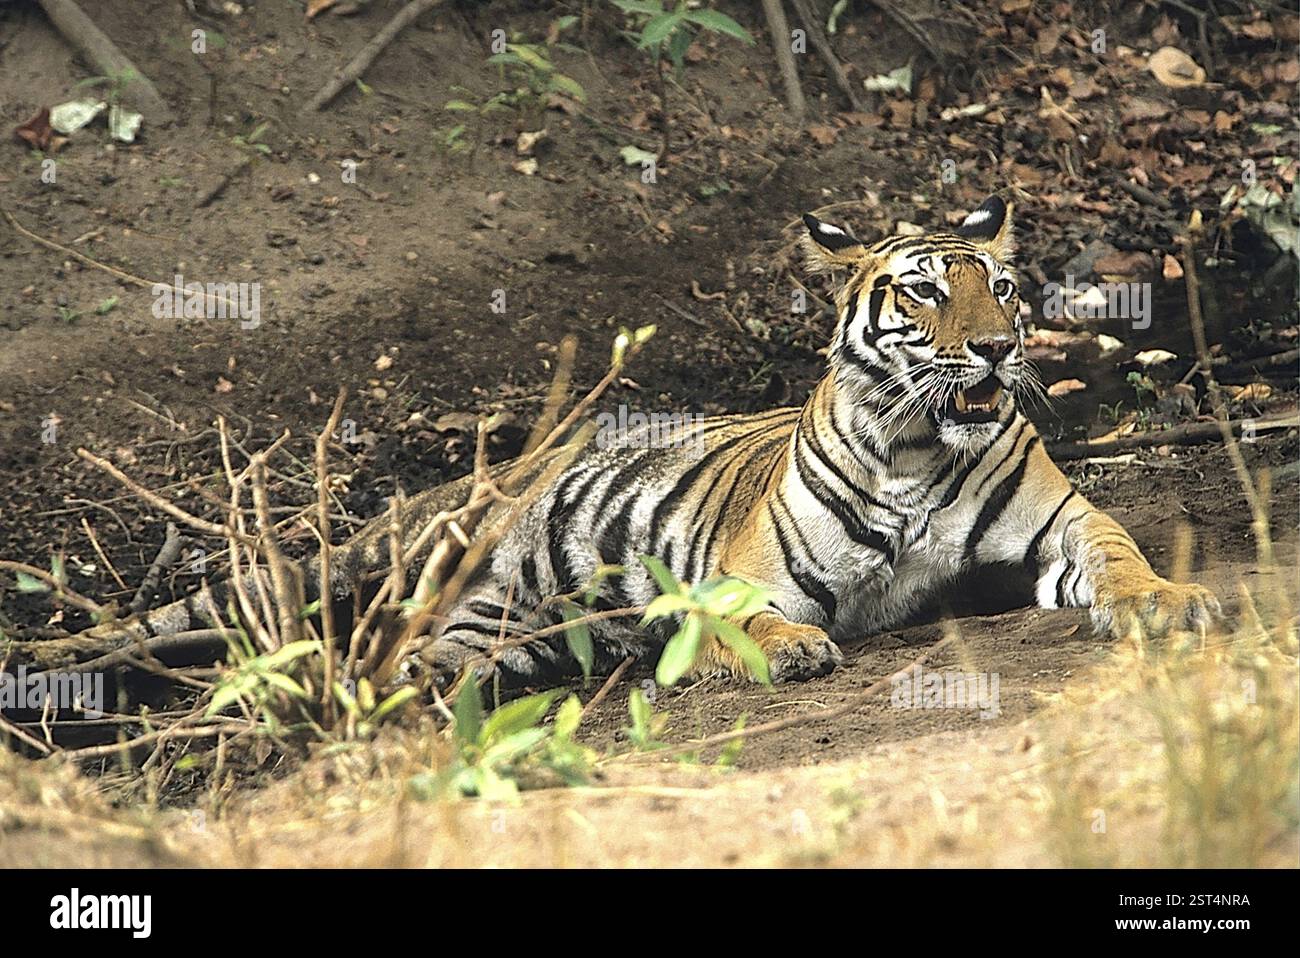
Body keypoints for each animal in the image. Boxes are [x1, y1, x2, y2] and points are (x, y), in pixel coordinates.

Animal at [413, 194, 1220, 689]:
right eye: (925, 291)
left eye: (1003, 289)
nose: (997, 347)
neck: (917, 449)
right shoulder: (735, 583)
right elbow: (745, 622)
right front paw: (792, 647)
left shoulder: (1061, 526)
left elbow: (1117, 553)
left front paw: (1162, 601)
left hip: (511, 634)